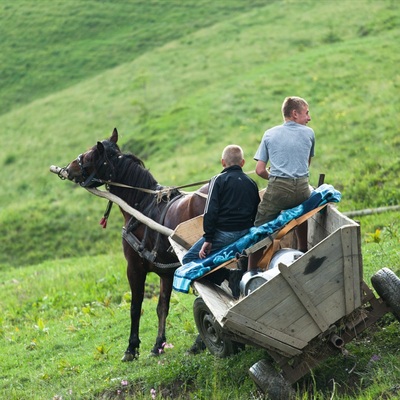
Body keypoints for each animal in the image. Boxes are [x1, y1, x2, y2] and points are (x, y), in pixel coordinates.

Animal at [64, 130, 208, 360]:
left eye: (89, 155)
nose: (69, 168)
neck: (142, 205)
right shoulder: (166, 272)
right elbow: (162, 306)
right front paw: (158, 344)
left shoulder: (134, 267)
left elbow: (135, 306)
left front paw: (131, 348)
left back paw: (199, 341)